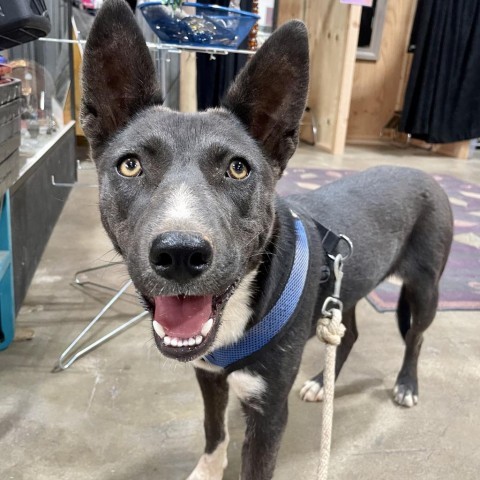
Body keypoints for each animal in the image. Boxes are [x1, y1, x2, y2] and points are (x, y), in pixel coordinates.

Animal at [79, 1, 454, 478]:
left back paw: (406, 385)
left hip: (425, 288)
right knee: (347, 333)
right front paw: (207, 468)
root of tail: (425, 175)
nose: (180, 253)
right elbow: (213, 428)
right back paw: (321, 382)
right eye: (130, 165)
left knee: (416, 338)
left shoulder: (269, 409)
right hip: (343, 288)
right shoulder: (208, 375)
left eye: (238, 169)